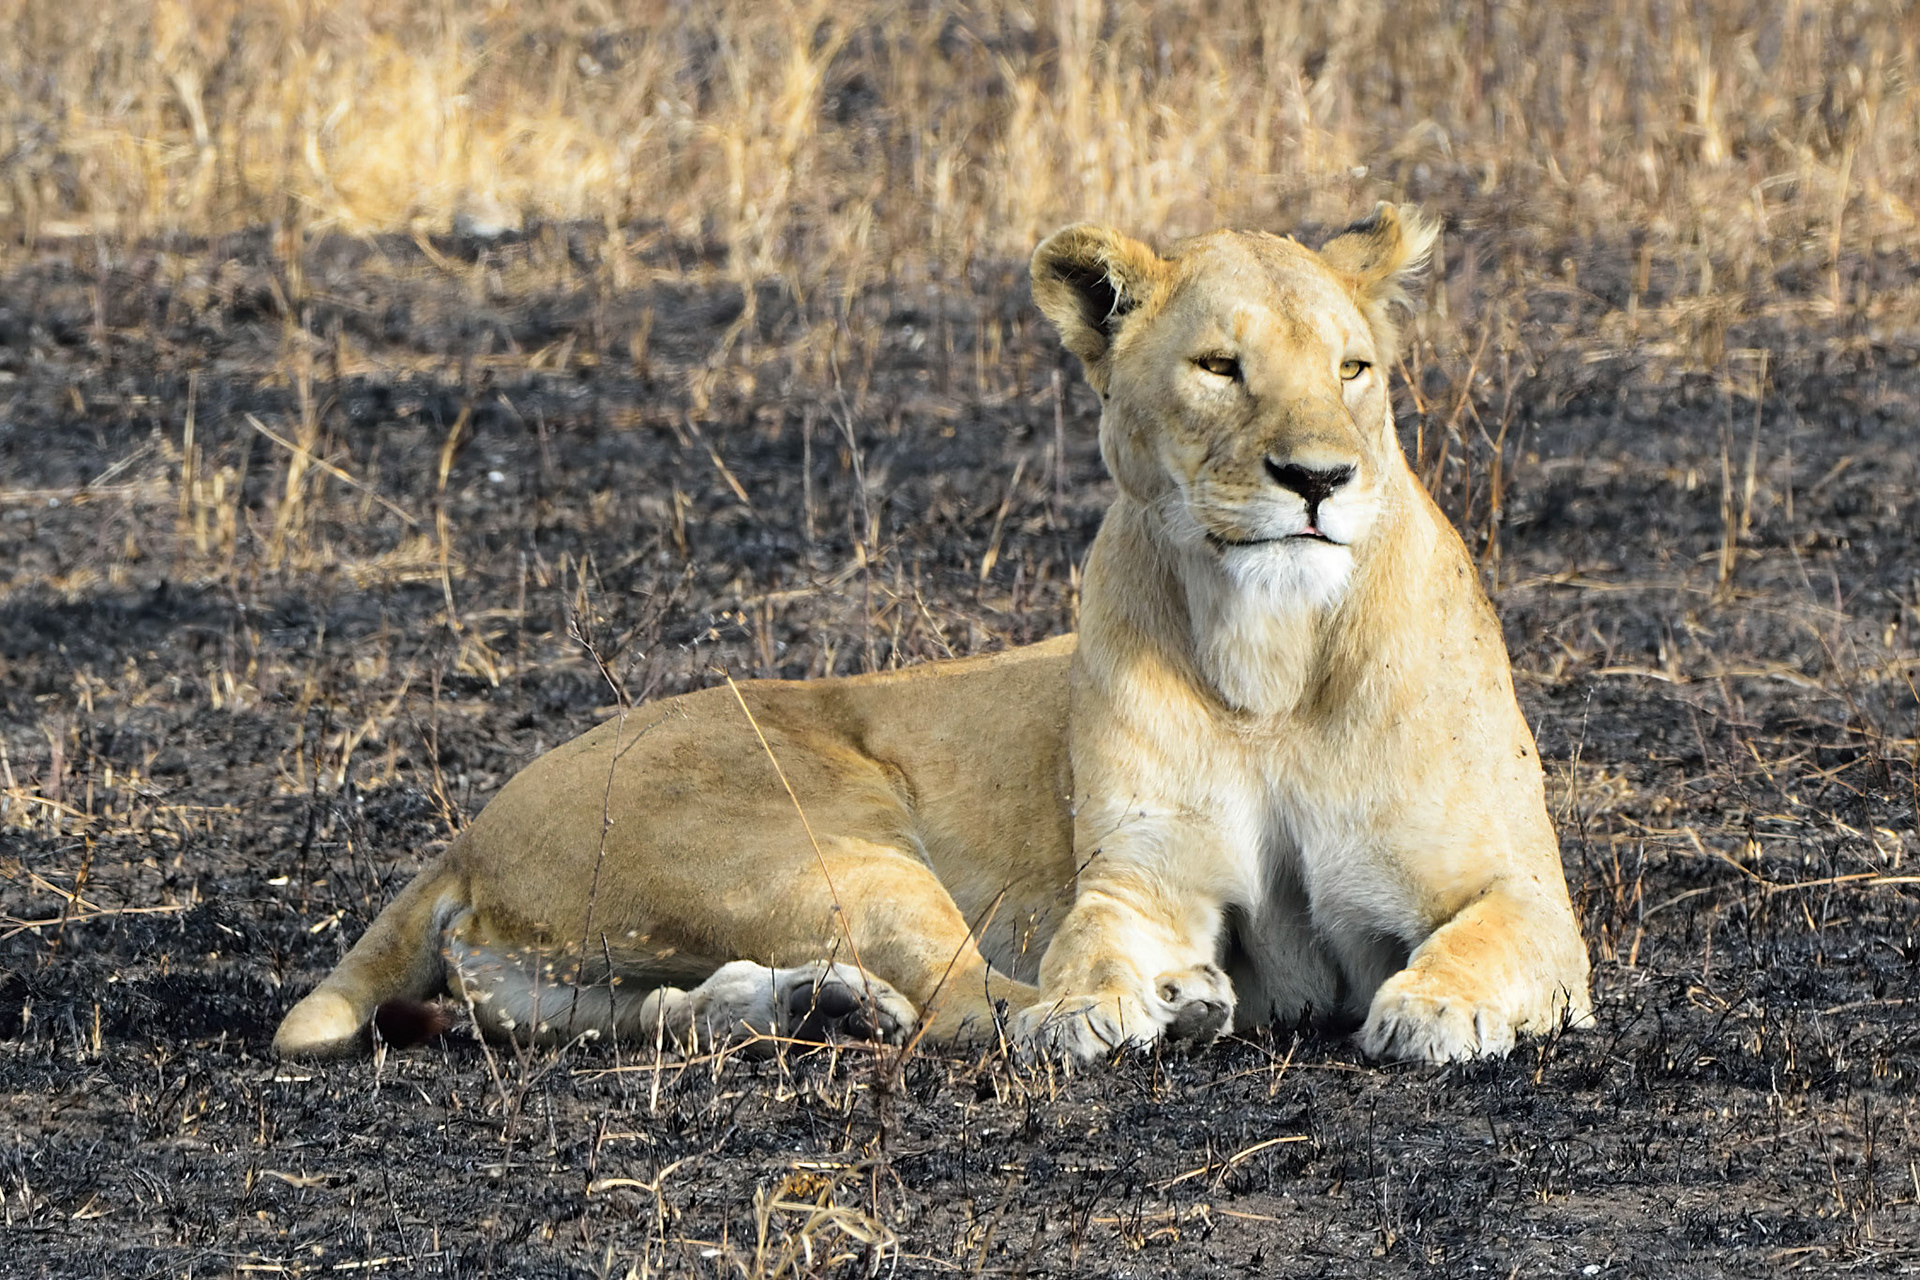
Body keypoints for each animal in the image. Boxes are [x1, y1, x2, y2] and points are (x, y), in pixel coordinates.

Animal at [273, 204, 1591, 1065]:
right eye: (1221, 366)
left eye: (1356, 368)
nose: (1319, 478)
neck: (1271, 652)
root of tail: (468, 833)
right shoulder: (1141, 882)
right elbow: (1084, 949)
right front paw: (1109, 999)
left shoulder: (1522, 888)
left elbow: (1492, 937)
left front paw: (1438, 1008)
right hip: (823, 844)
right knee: (974, 1003)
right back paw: (1146, 1007)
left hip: (593, 976)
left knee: (670, 1012)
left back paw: (824, 1010)